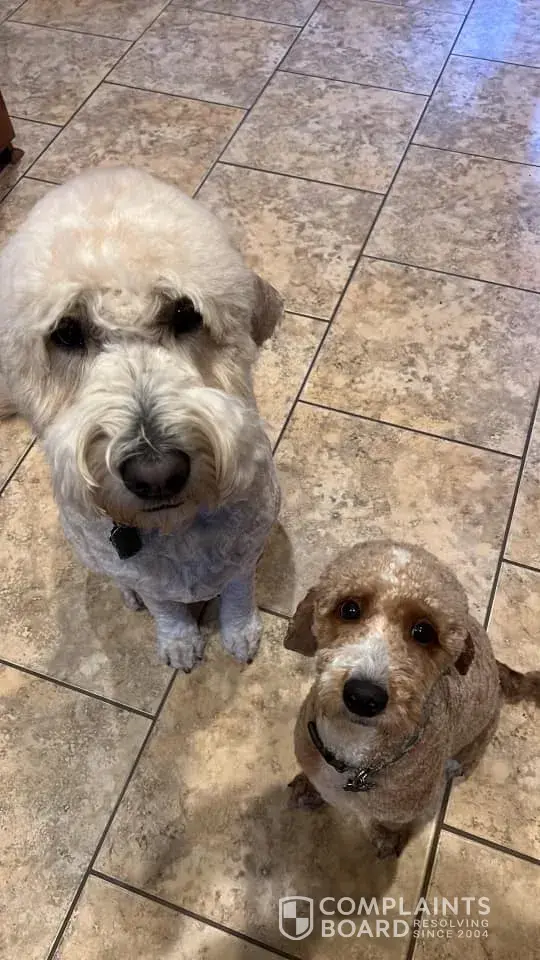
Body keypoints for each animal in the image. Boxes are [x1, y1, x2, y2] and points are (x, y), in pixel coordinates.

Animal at [0, 166, 283, 672]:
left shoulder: (246, 547)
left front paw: (240, 632)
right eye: (66, 333)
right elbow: (164, 605)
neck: (176, 526)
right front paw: (179, 642)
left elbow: (238, 592)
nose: (156, 474)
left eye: (186, 314)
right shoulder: (148, 578)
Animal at [285, 540, 539, 858]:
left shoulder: (403, 810)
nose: (364, 697)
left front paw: (386, 839)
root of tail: (497, 667)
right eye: (349, 608)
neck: (355, 755)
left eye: (424, 631)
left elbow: (388, 825)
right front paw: (309, 788)